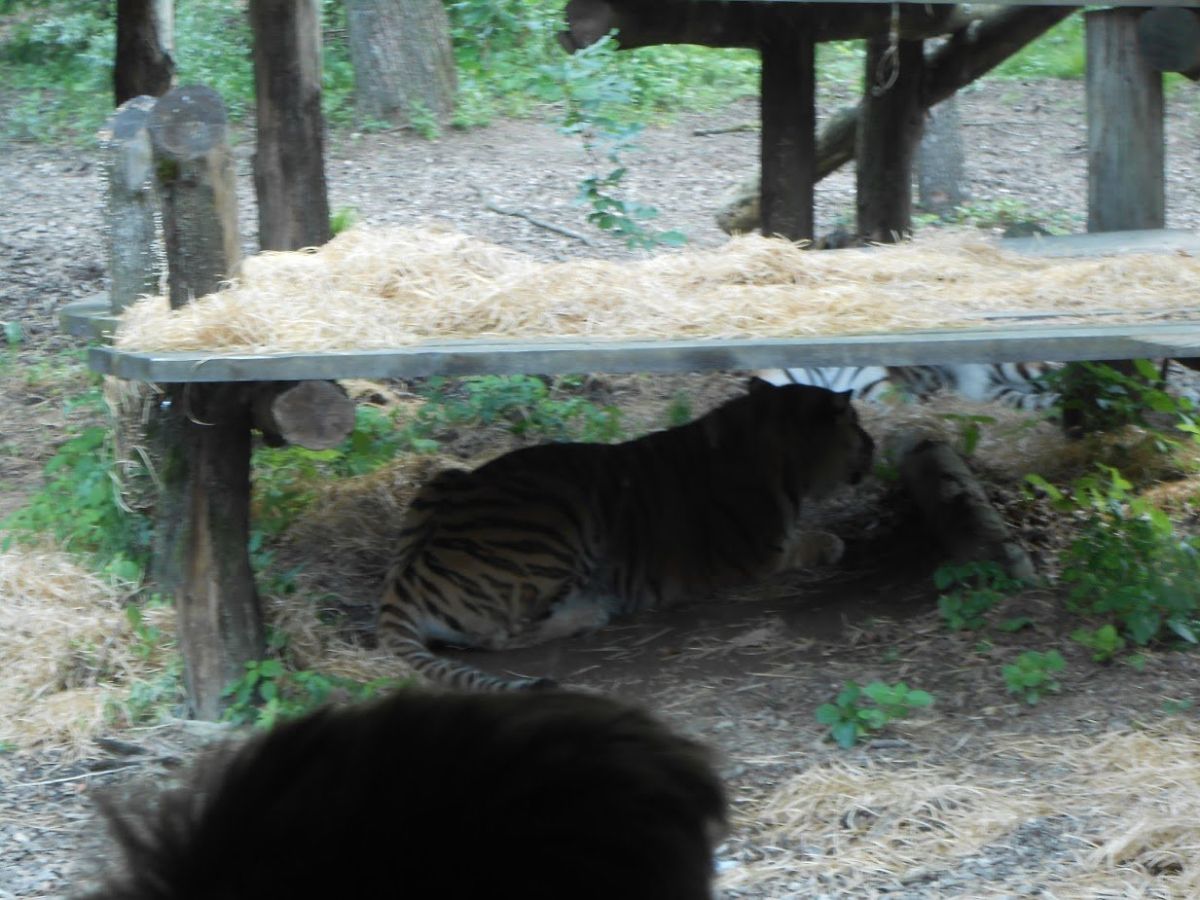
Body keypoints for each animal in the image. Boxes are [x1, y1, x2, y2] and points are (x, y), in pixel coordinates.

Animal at [376, 379, 876, 691]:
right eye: (854, 423)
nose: (873, 445)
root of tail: (407, 580)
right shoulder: (761, 554)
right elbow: (811, 542)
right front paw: (832, 543)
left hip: (442, 479)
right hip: (560, 528)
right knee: (503, 636)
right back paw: (592, 611)